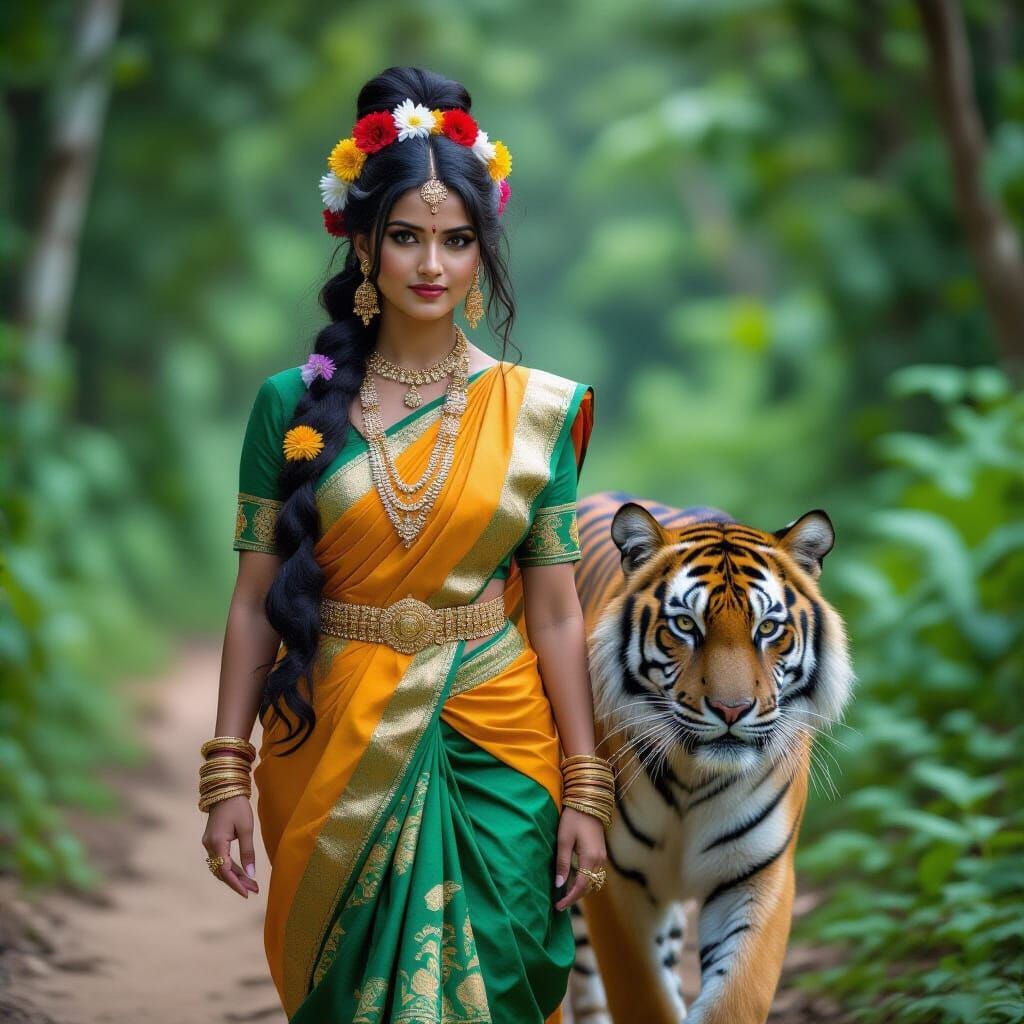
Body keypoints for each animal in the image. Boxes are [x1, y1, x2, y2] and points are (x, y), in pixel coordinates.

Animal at [564, 492, 855, 1024]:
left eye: (768, 628)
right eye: (685, 625)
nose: (731, 708)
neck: (693, 777)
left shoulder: (757, 875)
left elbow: (735, 997)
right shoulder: (614, 882)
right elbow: (643, 996)